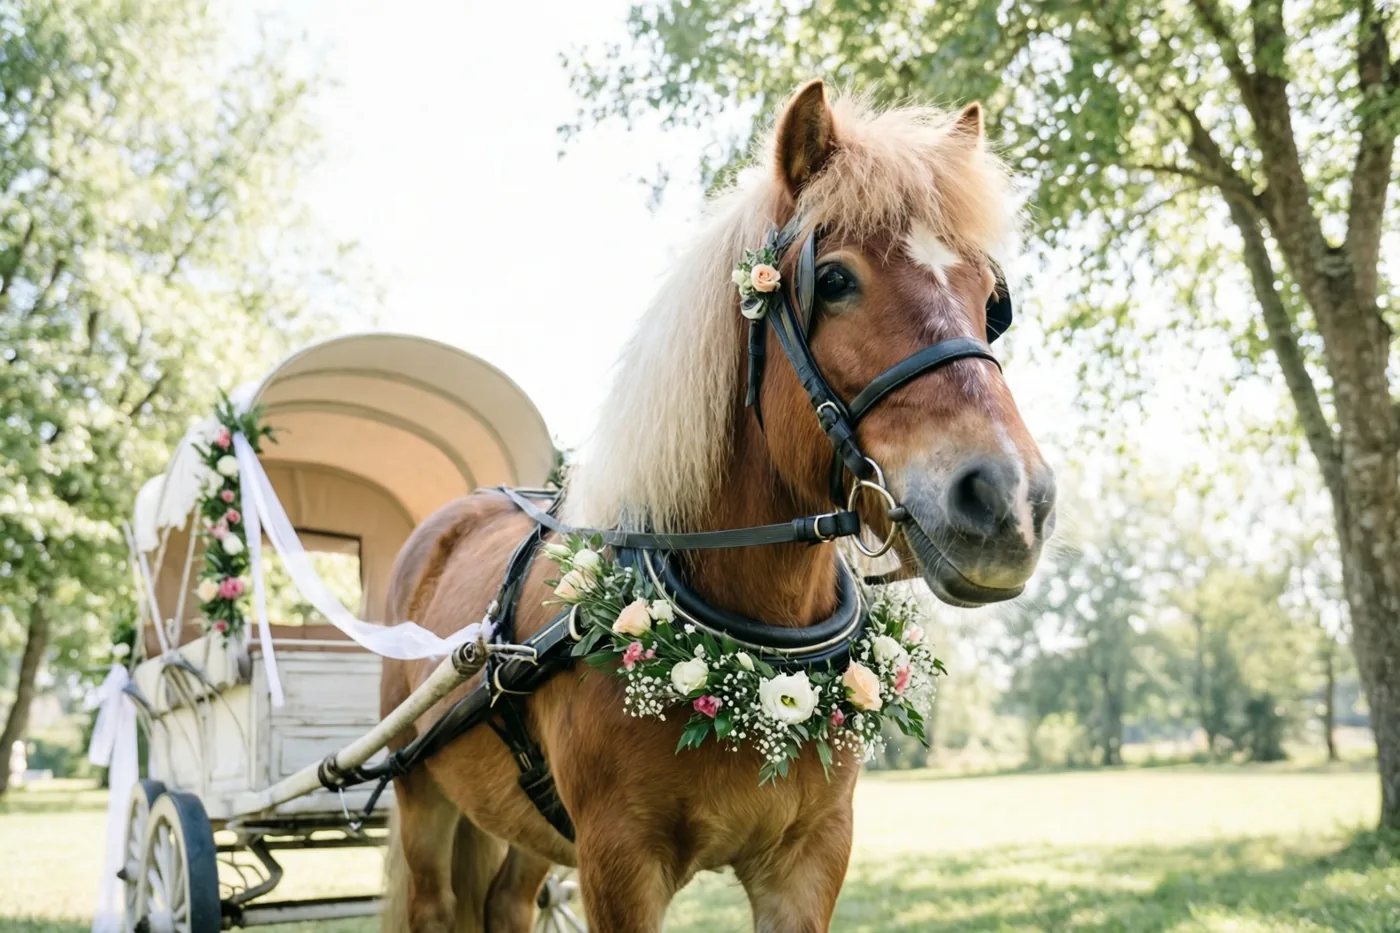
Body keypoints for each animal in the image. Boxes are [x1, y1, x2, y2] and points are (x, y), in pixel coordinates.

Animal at [380, 79, 1056, 933]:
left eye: (990, 298)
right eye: (835, 280)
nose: (1010, 498)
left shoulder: (810, 857)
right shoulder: (618, 863)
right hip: (422, 798)